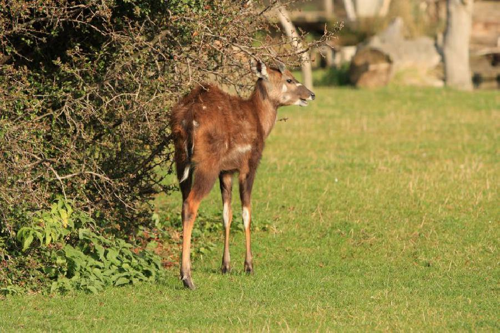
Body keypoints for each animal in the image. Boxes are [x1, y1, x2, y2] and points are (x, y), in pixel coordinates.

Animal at [170, 59, 314, 288]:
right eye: (289, 79)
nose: (310, 94)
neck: (259, 120)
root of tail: (187, 119)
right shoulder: (249, 166)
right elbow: (246, 213)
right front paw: (249, 266)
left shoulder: (226, 171)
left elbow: (226, 214)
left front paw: (226, 266)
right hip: (206, 167)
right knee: (191, 204)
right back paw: (188, 278)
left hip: (181, 162)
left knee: (184, 204)